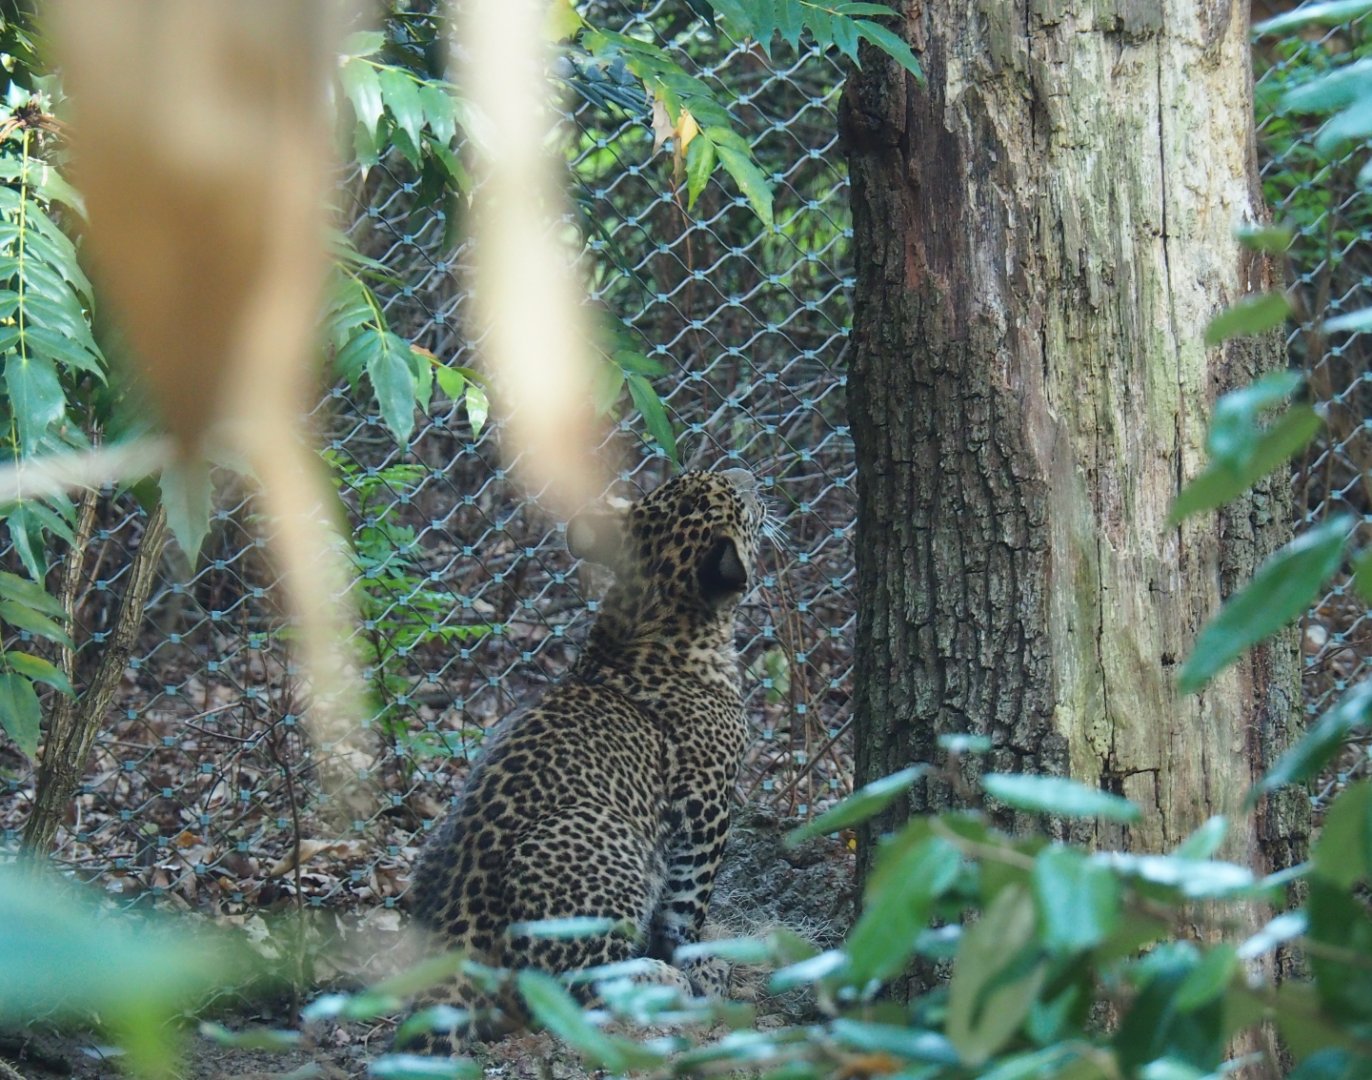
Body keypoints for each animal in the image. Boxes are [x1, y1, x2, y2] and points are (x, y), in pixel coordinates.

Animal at [404, 467, 767, 1052]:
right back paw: (662, 980)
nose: (749, 474)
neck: (654, 611)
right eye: (736, 498)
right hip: (599, 835)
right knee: (566, 988)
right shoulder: (706, 799)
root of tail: (458, 937)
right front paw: (699, 964)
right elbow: (689, 901)